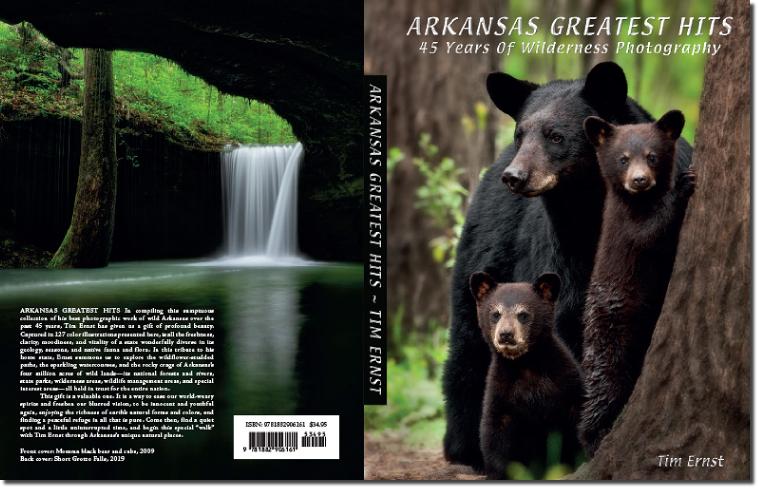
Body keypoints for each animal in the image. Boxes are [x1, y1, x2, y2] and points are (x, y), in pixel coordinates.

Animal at [471, 271, 584, 480]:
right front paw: (499, 473)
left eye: (523, 314)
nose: (506, 335)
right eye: (495, 314)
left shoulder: (566, 380)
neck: (525, 364)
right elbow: (493, 431)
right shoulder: (500, 390)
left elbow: (578, 416)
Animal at [578, 111, 696, 456]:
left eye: (652, 156)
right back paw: (594, 437)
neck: (640, 202)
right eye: (623, 158)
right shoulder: (625, 230)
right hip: (610, 337)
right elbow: (651, 233)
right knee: (602, 389)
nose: (639, 180)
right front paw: (683, 186)